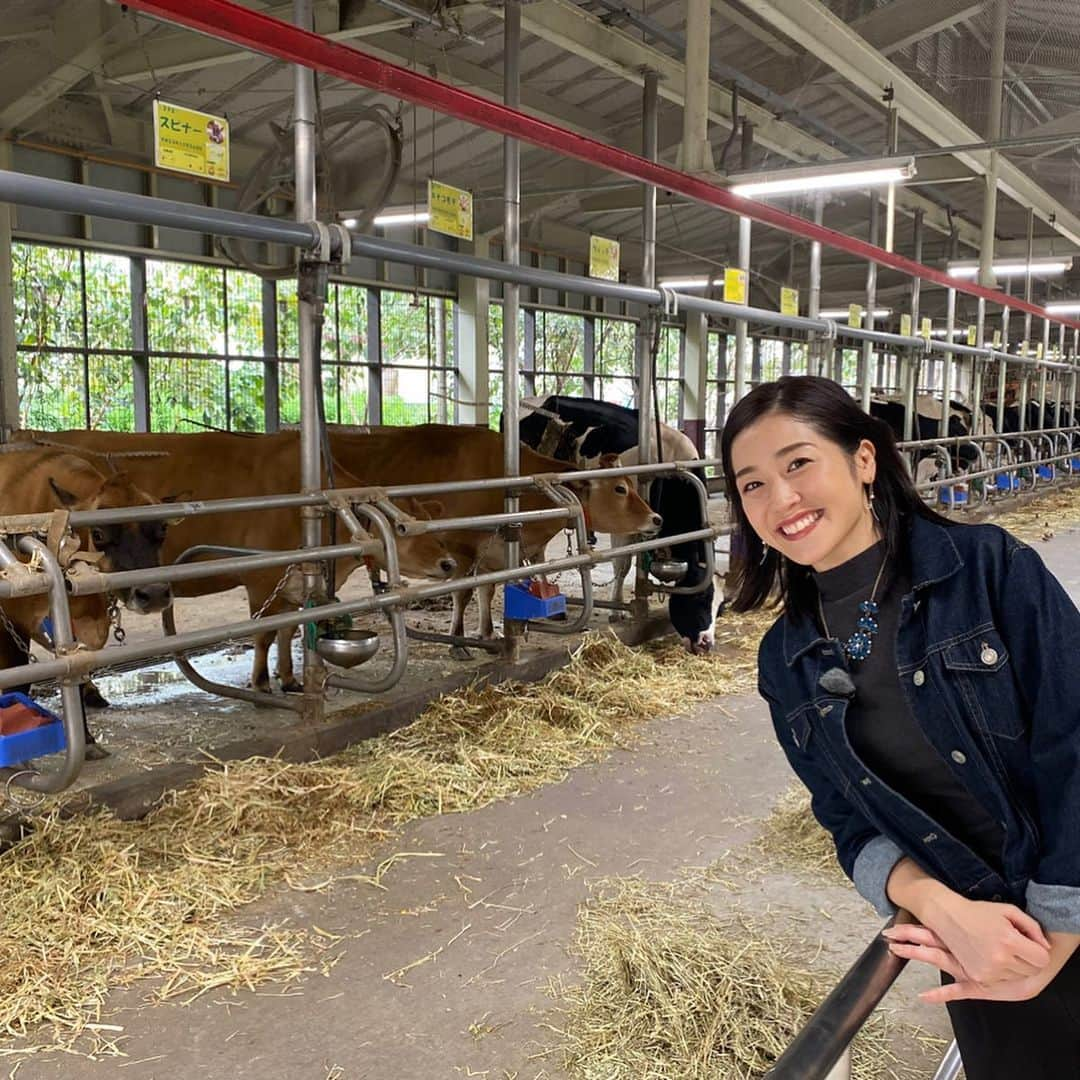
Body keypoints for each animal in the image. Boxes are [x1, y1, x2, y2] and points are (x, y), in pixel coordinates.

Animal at [0, 451, 173, 756]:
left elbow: (77, 669)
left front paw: (87, 738)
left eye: (162, 528)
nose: (153, 593)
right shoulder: (10, 620)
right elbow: (18, 677)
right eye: (99, 534)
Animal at [15, 429, 455, 691]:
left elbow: (287, 630)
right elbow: (264, 632)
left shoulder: (294, 580)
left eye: (428, 520)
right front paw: (261, 681)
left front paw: (289, 678)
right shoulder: (261, 577)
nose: (449, 564)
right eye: (401, 527)